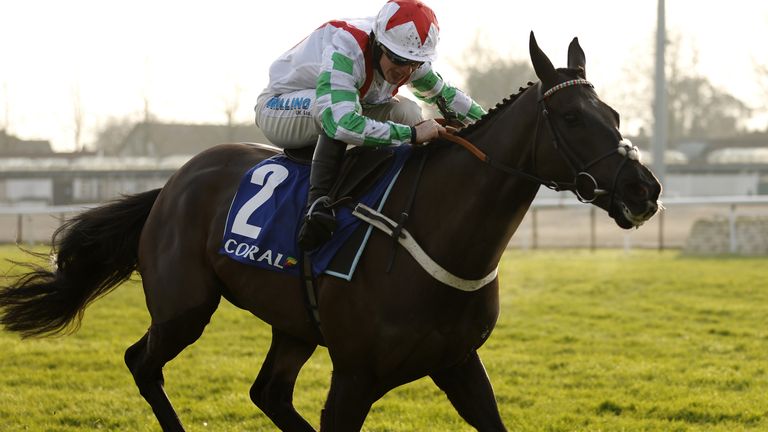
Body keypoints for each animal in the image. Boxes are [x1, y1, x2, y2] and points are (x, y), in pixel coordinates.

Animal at [0, 34, 660, 432]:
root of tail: (170, 184)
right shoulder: (356, 375)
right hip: (184, 306)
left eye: (615, 115)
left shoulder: (458, 362)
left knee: (268, 392)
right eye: (571, 117)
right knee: (142, 362)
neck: (435, 231)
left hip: (293, 323)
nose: (643, 189)